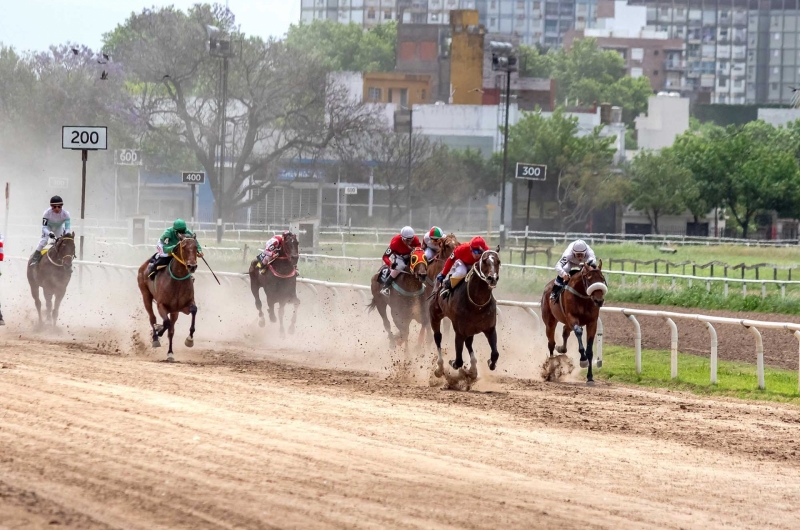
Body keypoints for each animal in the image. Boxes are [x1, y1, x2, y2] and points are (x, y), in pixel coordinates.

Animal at [138, 236, 200, 364]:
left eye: (196, 247)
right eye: (183, 247)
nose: (192, 266)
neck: (177, 280)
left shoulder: (183, 306)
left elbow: (194, 310)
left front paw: (189, 340)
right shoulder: (161, 305)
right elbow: (165, 323)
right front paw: (158, 332)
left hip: (174, 312)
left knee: (171, 330)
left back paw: (170, 353)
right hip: (145, 295)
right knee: (152, 318)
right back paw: (155, 338)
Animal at [432, 246, 500, 376]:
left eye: (498, 261)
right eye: (484, 261)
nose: (492, 278)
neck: (477, 305)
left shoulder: (490, 329)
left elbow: (495, 353)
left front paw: (490, 363)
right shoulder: (459, 331)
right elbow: (458, 361)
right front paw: (452, 363)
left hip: (470, 329)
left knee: (469, 343)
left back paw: (473, 369)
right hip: (435, 314)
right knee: (438, 337)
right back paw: (439, 367)